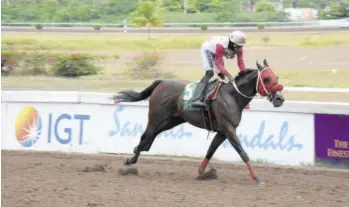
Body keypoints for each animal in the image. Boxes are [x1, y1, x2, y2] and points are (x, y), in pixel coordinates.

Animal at [113, 59, 284, 184]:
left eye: (276, 77)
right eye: (266, 79)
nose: (280, 99)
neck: (232, 96)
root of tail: (161, 83)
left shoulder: (222, 131)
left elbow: (211, 150)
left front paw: (203, 172)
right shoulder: (228, 129)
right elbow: (242, 153)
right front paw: (256, 178)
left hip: (172, 120)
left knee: (150, 138)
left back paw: (134, 156)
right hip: (156, 118)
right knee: (145, 136)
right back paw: (130, 160)